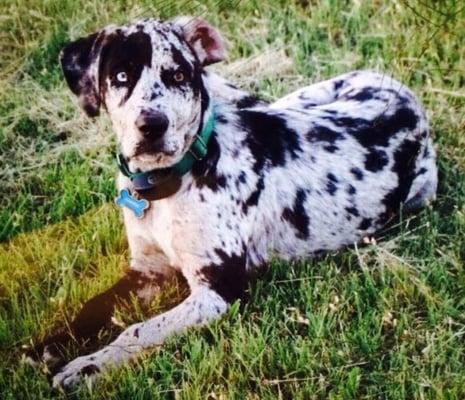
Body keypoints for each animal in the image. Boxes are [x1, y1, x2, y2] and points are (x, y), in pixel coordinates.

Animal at [25, 17, 436, 390]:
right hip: (294, 100)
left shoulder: (218, 290)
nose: (152, 125)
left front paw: (87, 367)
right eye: (122, 75)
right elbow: (91, 307)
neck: (167, 185)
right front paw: (46, 345)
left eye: (178, 75)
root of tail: (403, 92)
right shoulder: (146, 271)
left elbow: (139, 330)